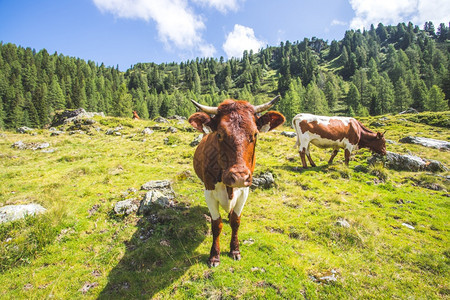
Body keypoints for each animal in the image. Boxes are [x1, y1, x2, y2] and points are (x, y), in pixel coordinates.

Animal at [189, 96, 284, 268]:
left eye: (255, 134)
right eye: (219, 134)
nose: (239, 177)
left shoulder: (245, 190)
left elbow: (236, 221)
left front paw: (235, 250)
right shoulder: (209, 191)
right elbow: (216, 224)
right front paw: (214, 255)